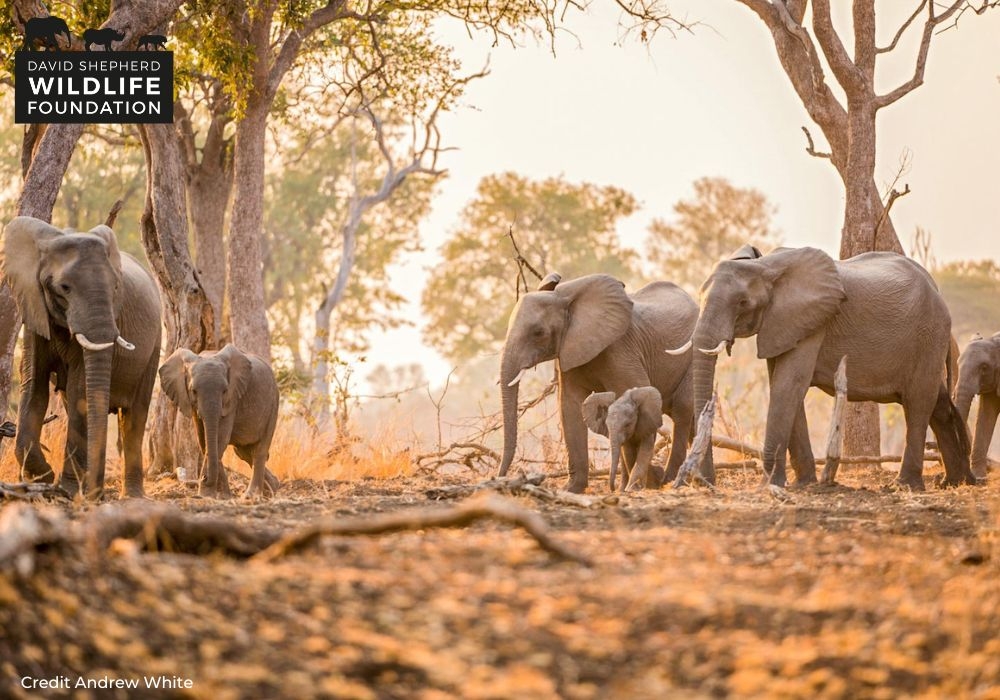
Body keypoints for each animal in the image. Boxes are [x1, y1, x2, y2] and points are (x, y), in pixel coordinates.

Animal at [1, 216, 162, 498]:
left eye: (116, 287)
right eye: (64, 288)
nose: (95, 494)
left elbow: (80, 388)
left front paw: (64, 490)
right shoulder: (33, 311)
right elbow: (34, 386)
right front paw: (42, 479)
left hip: (155, 346)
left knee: (135, 416)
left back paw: (129, 495)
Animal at [159, 344, 280, 500]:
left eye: (224, 391)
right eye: (193, 391)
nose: (203, 478)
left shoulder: (232, 399)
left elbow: (220, 439)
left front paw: (207, 494)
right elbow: (203, 441)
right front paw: (221, 495)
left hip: (273, 405)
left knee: (260, 450)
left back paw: (251, 496)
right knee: (244, 453)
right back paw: (271, 489)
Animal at [498, 273, 697, 493]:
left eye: (538, 332)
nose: (500, 476)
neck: (566, 300)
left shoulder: (621, 350)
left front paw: (640, 484)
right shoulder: (569, 353)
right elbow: (569, 407)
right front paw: (571, 489)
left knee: (682, 409)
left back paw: (670, 480)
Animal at [685, 245, 975, 490]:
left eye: (743, 303)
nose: (704, 482)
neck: (765, 265)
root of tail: (936, 289)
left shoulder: (812, 321)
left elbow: (788, 385)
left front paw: (769, 486)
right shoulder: (782, 324)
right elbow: (782, 384)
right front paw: (803, 484)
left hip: (929, 334)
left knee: (918, 402)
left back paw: (906, 486)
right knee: (939, 405)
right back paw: (954, 482)